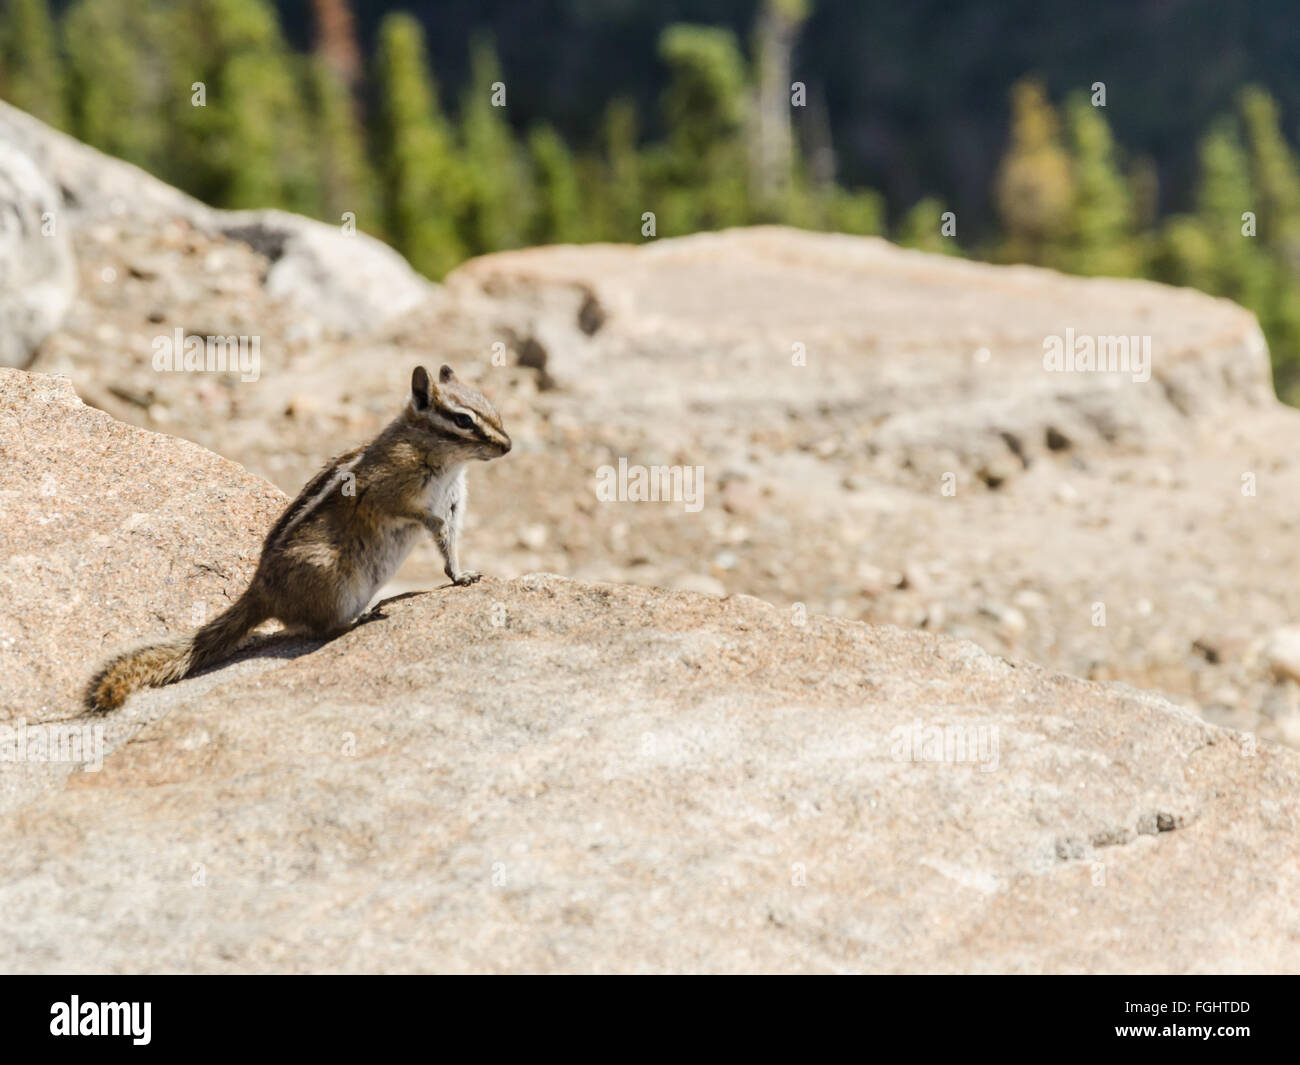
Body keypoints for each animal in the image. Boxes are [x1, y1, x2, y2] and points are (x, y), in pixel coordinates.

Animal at [85, 364, 511, 713]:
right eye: (463, 419)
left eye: (491, 406)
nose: (507, 446)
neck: (446, 460)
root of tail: (261, 592)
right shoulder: (387, 487)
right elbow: (416, 515)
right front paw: (433, 530)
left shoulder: (454, 501)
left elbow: (448, 544)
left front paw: (461, 575)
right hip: (332, 575)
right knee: (319, 629)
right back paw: (359, 619)